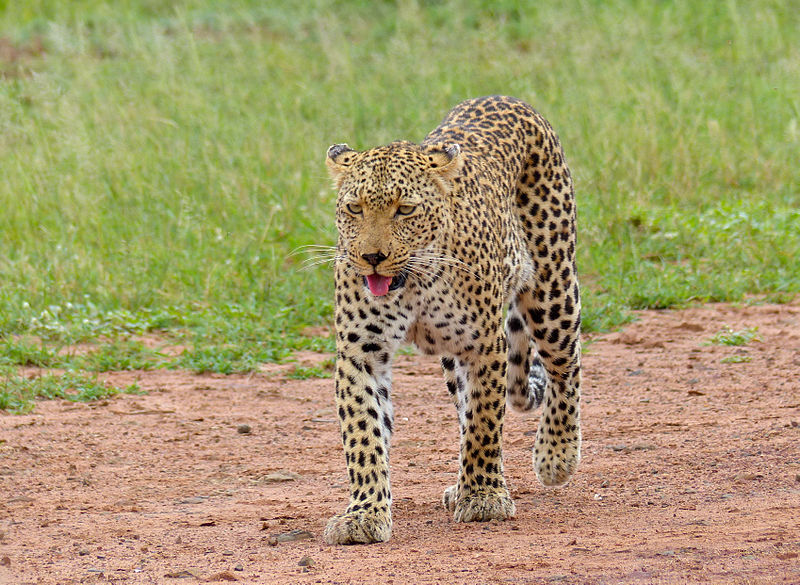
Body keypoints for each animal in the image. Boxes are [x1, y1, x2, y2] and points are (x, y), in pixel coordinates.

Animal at [320, 93, 580, 544]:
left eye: (405, 210)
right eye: (354, 208)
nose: (372, 257)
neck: (413, 283)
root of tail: (503, 96)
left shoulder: (485, 345)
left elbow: (483, 423)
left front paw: (483, 498)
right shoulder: (360, 352)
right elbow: (364, 434)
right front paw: (364, 514)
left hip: (553, 290)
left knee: (566, 367)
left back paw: (556, 454)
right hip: (452, 356)